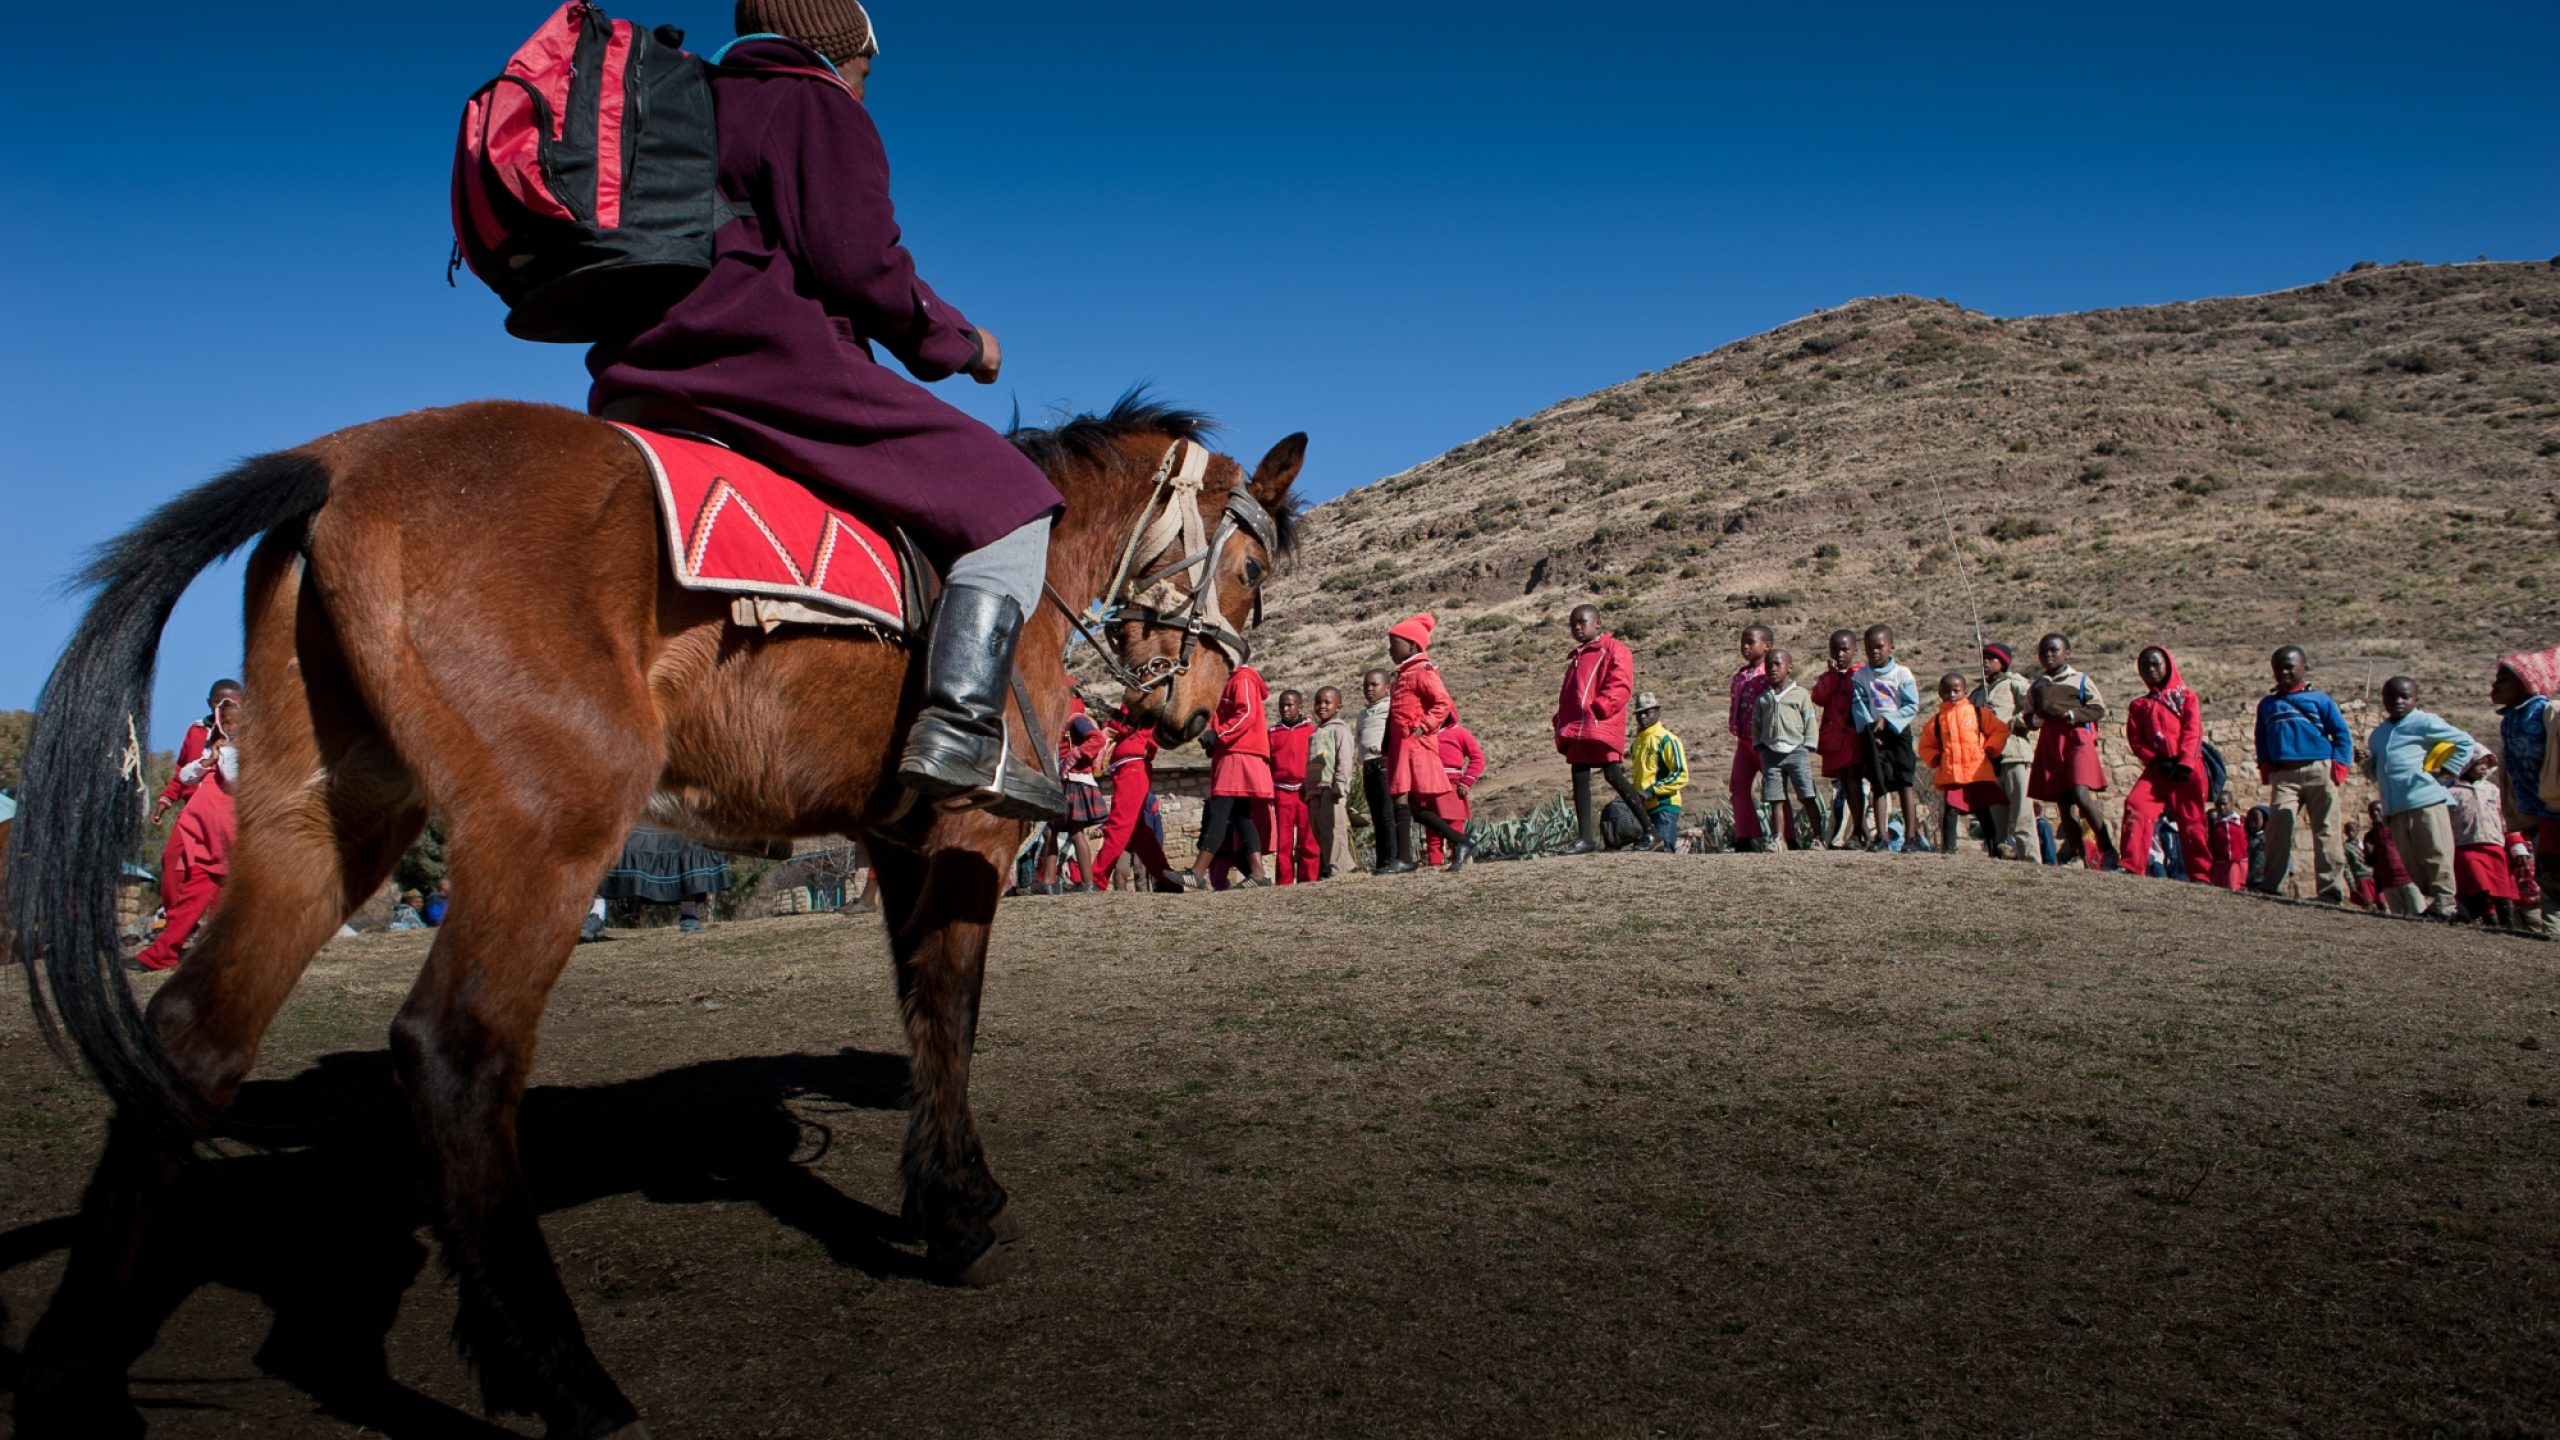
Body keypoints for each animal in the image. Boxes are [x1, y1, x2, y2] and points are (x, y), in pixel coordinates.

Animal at [7, 393, 1304, 1439]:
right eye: (1249, 573)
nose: (1195, 710)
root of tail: (338, 462)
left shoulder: (891, 841)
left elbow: (923, 1011)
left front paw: (945, 1195)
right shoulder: (970, 836)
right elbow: (951, 1007)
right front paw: (959, 1217)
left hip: (324, 821)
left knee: (192, 1044)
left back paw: (74, 1379)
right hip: (551, 819)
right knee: (455, 1053)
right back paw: (565, 1379)